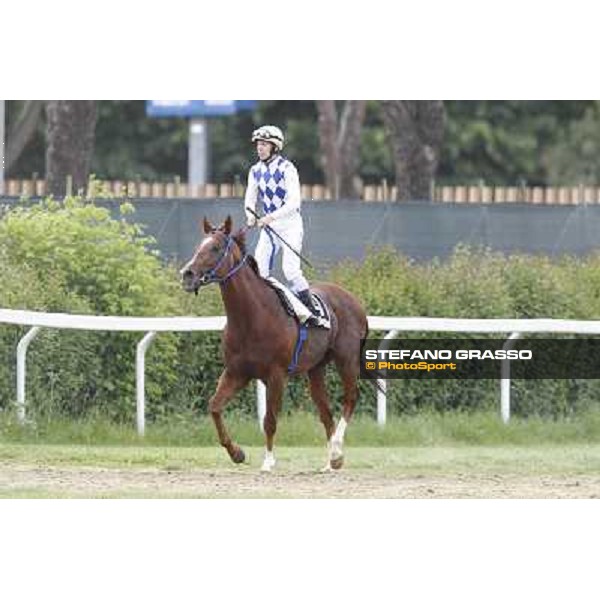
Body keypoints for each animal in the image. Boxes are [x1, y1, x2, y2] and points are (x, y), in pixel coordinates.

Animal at [179, 218, 366, 472]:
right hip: (315, 368)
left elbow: (270, 420)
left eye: (215, 248)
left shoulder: (276, 375)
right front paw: (237, 453)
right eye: (199, 245)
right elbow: (214, 407)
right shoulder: (236, 372)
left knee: (350, 398)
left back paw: (337, 451)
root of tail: (352, 299)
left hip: (346, 359)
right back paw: (332, 461)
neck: (251, 317)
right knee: (325, 412)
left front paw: (268, 461)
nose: (187, 275)